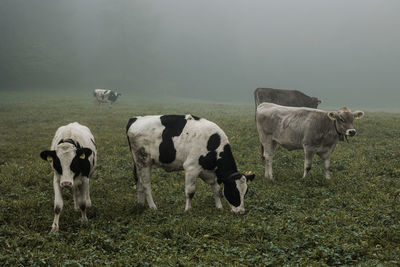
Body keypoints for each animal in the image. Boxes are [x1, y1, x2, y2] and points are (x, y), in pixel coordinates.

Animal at [126, 115, 256, 216]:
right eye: (234, 192)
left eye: (245, 192)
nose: (241, 212)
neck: (213, 144)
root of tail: (135, 118)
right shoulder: (191, 168)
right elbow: (190, 192)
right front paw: (187, 210)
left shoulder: (211, 172)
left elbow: (217, 190)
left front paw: (219, 207)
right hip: (144, 161)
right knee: (146, 185)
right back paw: (153, 207)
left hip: (137, 162)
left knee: (139, 182)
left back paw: (140, 204)